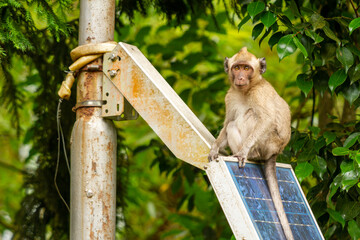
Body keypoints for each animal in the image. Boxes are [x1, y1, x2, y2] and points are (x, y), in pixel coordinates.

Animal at [208, 47, 296, 240]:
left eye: (247, 68)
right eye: (237, 67)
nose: (240, 77)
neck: (246, 90)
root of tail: (275, 152)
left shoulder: (259, 95)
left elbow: (267, 119)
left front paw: (243, 152)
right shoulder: (230, 96)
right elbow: (227, 123)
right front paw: (215, 148)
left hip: (268, 143)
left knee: (252, 114)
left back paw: (250, 154)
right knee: (232, 124)